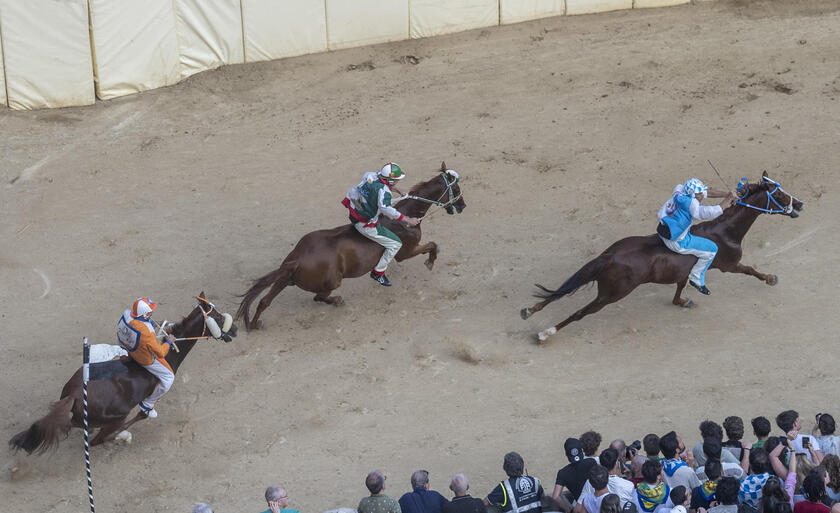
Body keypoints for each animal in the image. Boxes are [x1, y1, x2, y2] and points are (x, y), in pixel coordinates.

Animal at [9, 292, 238, 452]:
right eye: (218, 317)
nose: (235, 329)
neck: (169, 356)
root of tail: (74, 395)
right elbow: (143, 413)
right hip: (117, 416)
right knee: (98, 439)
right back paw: (121, 435)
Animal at [238, 162, 466, 330]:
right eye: (455, 189)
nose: (463, 205)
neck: (406, 214)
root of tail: (298, 259)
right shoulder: (405, 251)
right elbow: (432, 245)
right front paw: (430, 262)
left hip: (285, 277)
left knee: (264, 301)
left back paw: (254, 324)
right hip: (331, 281)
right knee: (318, 297)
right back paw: (338, 299)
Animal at [520, 172, 804, 340]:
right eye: (779, 194)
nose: (800, 204)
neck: (724, 230)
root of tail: (610, 257)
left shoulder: (684, 271)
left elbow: (680, 287)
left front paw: (683, 301)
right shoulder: (729, 264)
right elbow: (751, 270)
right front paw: (771, 278)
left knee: (558, 293)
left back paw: (530, 310)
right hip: (612, 294)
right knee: (580, 312)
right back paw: (546, 333)